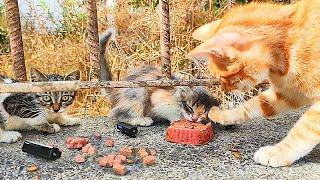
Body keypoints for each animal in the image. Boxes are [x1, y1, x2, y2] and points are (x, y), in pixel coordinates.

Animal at [188, 0, 320, 167]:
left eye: (223, 78)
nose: (224, 90)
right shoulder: (288, 93)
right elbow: (253, 105)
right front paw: (224, 114)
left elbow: (303, 131)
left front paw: (278, 152)